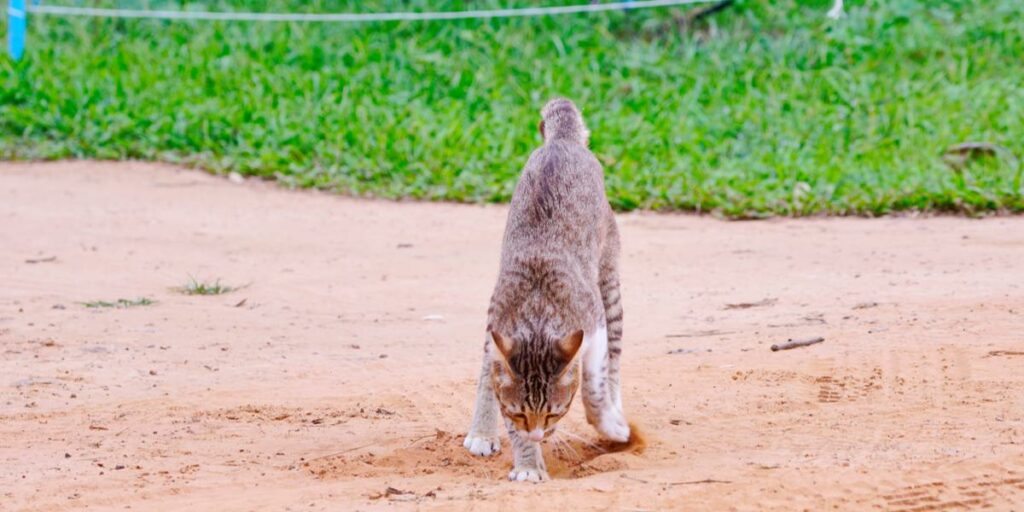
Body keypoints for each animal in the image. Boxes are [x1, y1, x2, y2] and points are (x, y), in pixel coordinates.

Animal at [462, 97, 622, 481]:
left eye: (554, 411)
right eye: (521, 413)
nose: (539, 433)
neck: (537, 319)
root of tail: (562, 141)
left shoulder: (593, 323)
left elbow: (594, 385)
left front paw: (606, 421)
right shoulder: (499, 336)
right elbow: (497, 390)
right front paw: (528, 463)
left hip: (609, 279)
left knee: (616, 356)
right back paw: (482, 432)